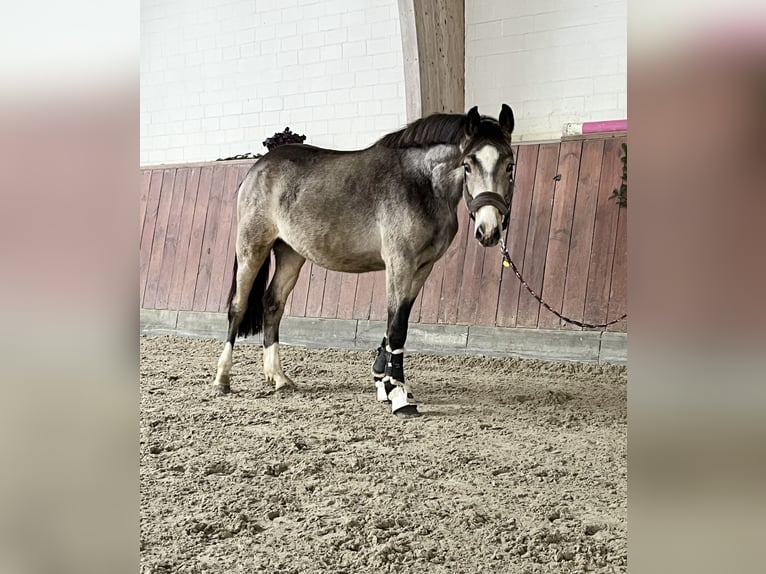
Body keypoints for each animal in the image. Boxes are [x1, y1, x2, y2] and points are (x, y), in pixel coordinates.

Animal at [213, 104, 520, 418]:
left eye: (510, 165)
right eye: (468, 165)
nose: (489, 231)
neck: (420, 183)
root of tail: (258, 167)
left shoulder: (422, 268)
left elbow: (398, 320)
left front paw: (386, 383)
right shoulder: (400, 263)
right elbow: (396, 328)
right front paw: (399, 396)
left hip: (290, 253)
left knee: (273, 304)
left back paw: (278, 377)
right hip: (252, 248)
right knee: (238, 306)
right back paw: (222, 379)